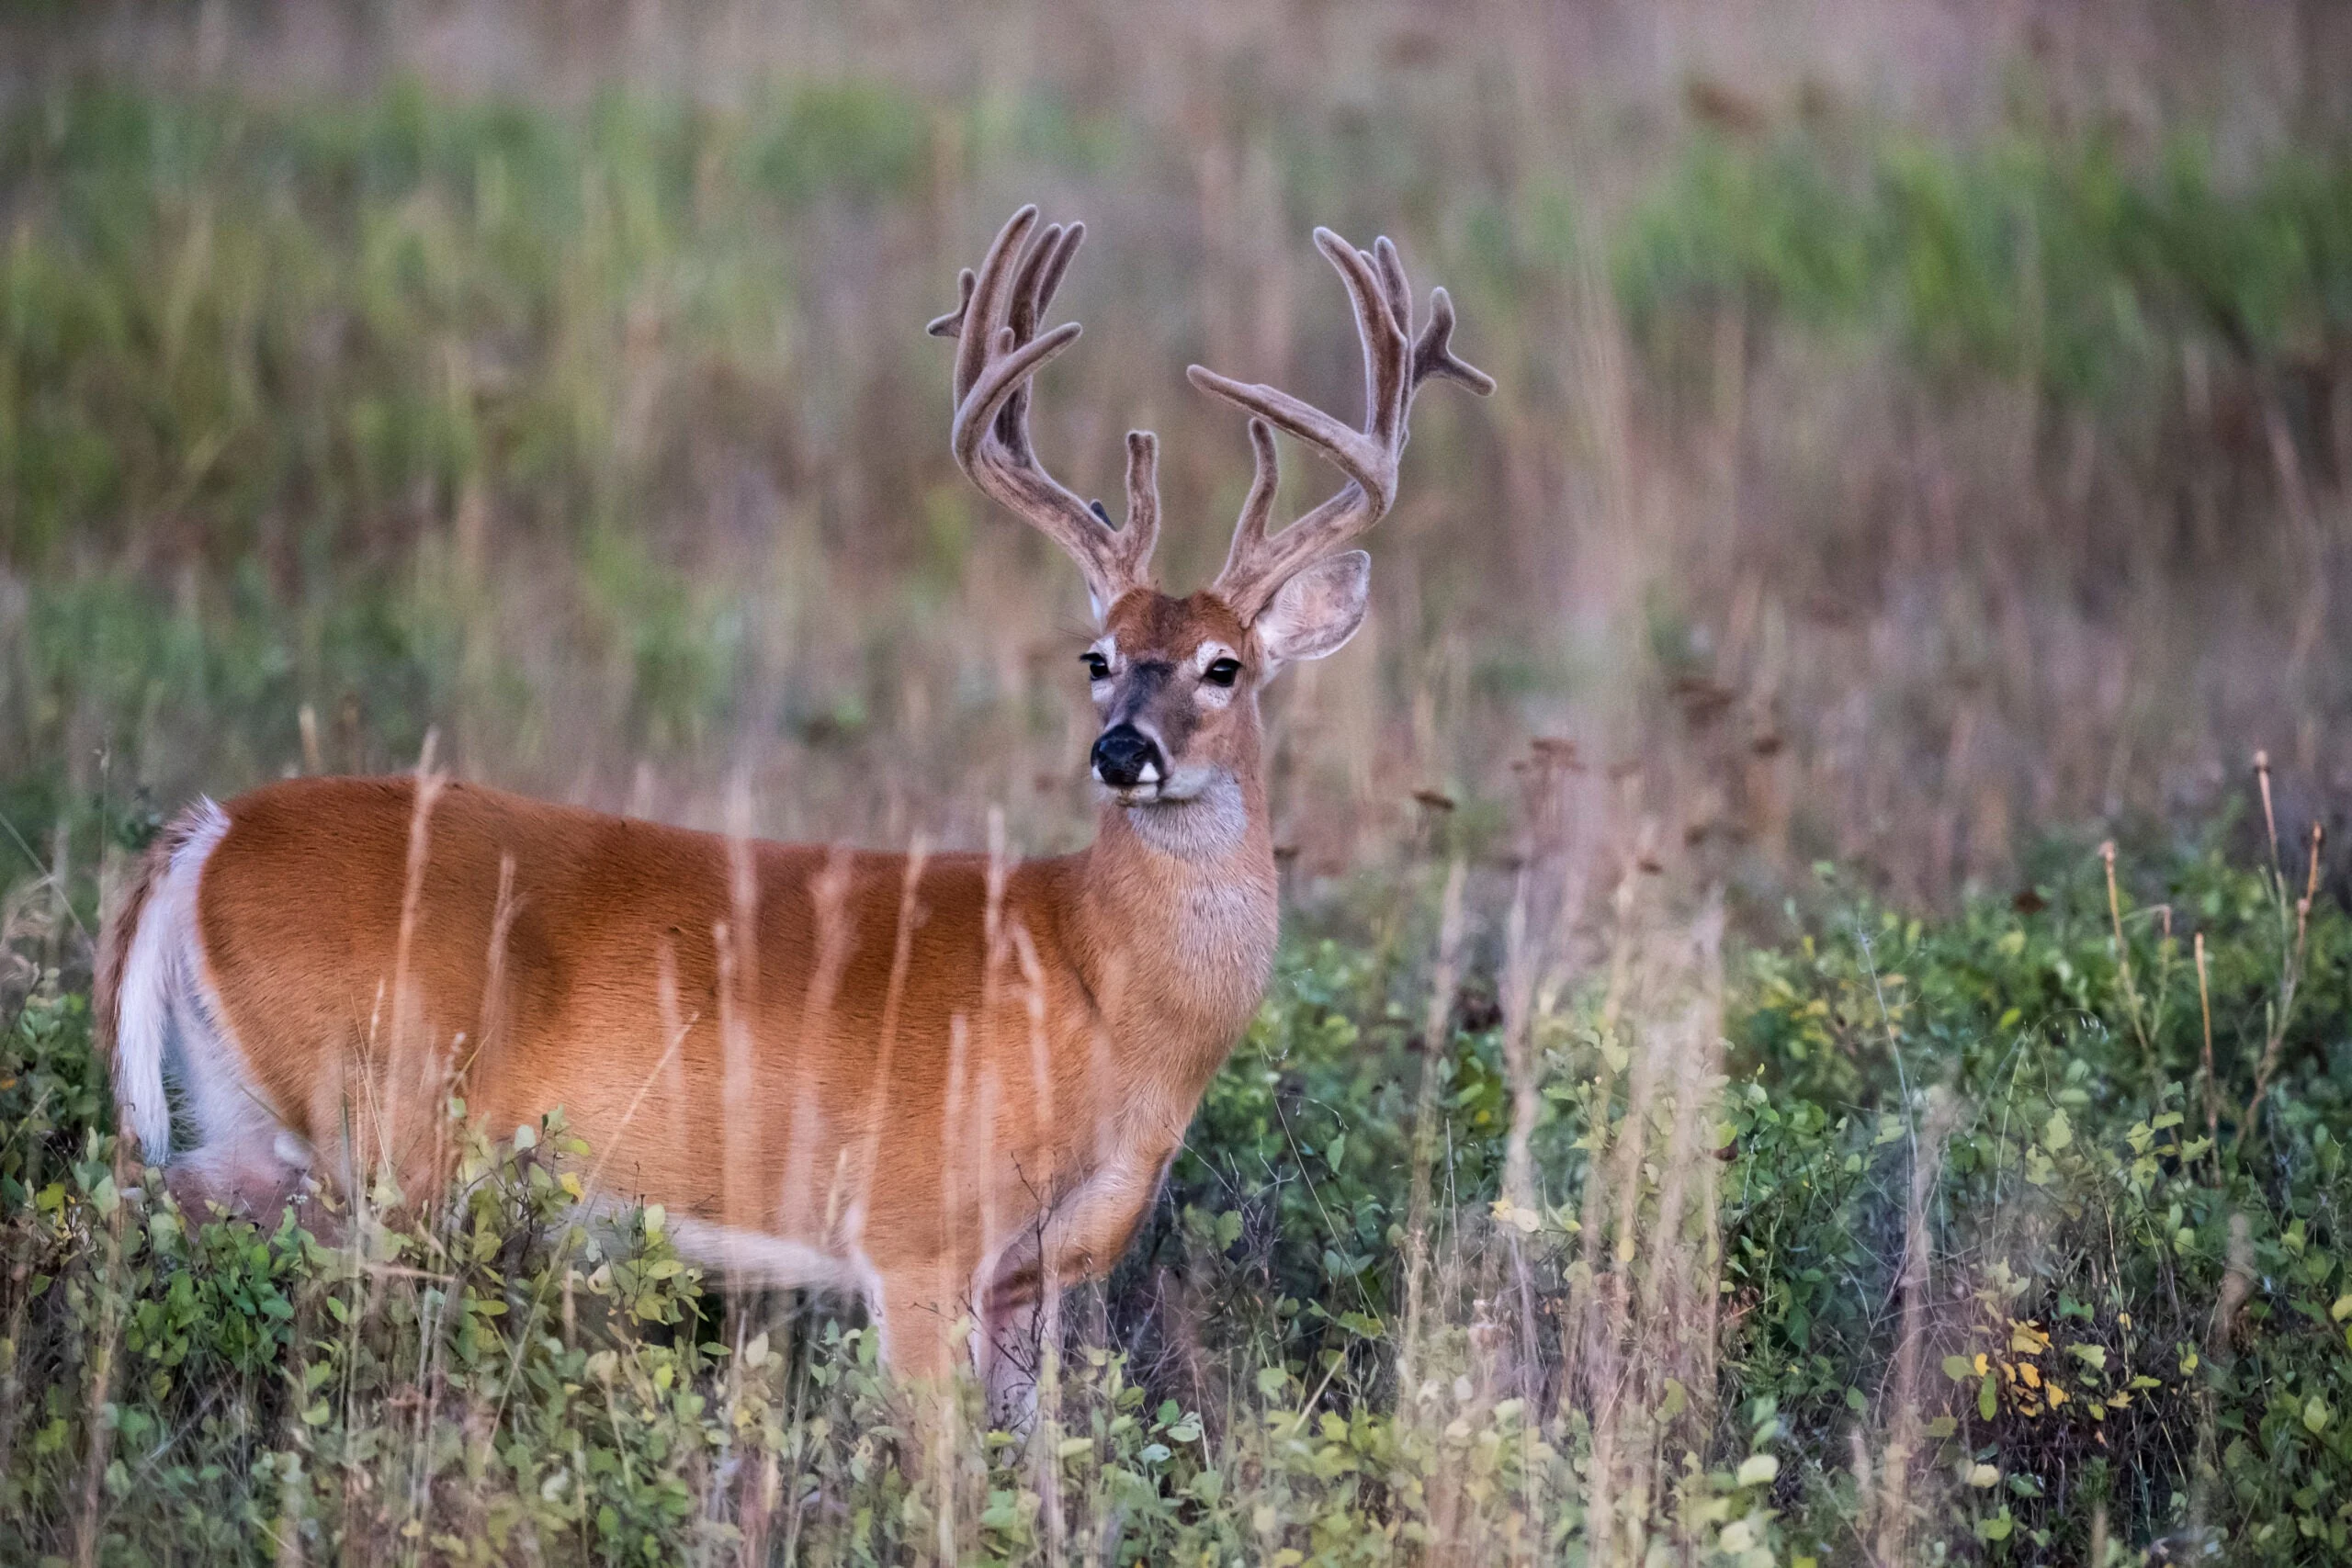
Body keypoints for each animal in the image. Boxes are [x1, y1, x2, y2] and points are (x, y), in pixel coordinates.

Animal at [96, 205, 1486, 1410]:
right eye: (1096, 655)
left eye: (1223, 665)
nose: (1122, 750)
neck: (1096, 988)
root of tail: (203, 834)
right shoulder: (916, 1231)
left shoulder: (1038, 1276)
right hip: (382, 1128)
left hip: (251, 1113)